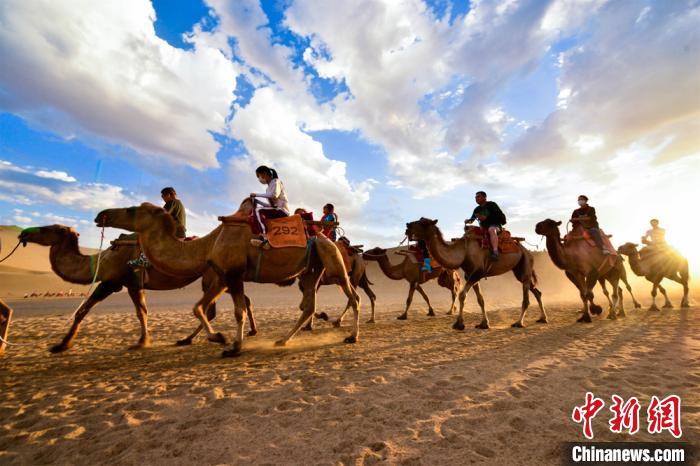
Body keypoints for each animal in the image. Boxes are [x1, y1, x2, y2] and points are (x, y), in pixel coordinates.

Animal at [17, 224, 254, 352]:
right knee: (230, 303)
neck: (103, 259)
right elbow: (140, 311)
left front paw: (61, 345)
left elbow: (89, 310)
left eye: (49, 228)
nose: (23, 234)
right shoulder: (127, 284)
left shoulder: (116, 282)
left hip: (213, 277)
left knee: (216, 307)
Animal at [95, 199, 358, 356]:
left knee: (353, 297)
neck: (208, 244)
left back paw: (352, 336)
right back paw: (283, 340)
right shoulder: (222, 277)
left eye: (131, 210)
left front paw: (234, 346)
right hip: (311, 269)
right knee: (309, 304)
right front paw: (219, 338)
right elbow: (198, 307)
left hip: (332, 261)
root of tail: (324, 235)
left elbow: (238, 311)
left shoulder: (233, 274)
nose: (101, 215)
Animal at [404, 220, 548, 330]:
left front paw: (459, 324)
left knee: (526, 297)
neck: (463, 252)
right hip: (519, 270)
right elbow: (480, 299)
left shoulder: (477, 273)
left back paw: (518, 323)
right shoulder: (471, 276)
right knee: (537, 291)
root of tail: (527, 251)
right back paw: (543, 318)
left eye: (422, 223)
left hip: (525, 265)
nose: (407, 226)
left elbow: (462, 295)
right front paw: (484, 324)